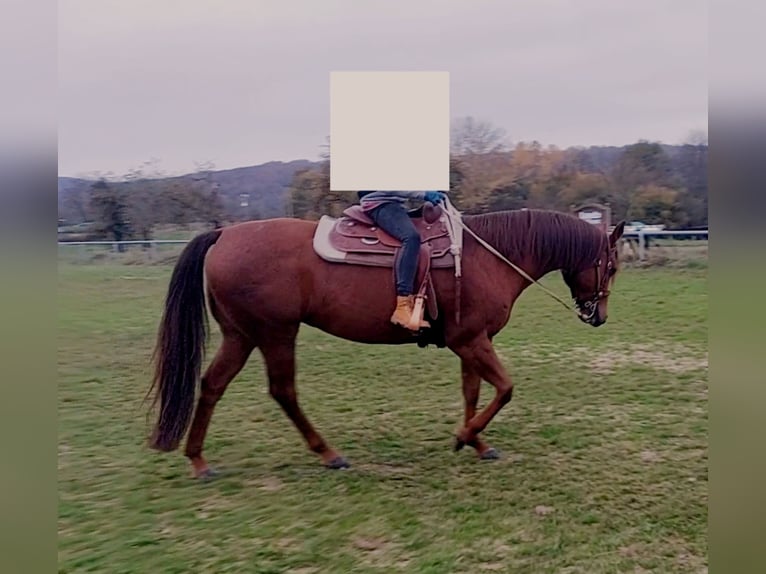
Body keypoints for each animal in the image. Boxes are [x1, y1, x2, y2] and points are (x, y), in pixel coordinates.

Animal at [146, 208, 625, 478]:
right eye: (613, 266)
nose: (599, 315)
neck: (487, 256)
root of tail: (224, 234)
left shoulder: (470, 341)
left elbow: (472, 392)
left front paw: (475, 442)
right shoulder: (471, 341)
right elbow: (505, 389)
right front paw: (465, 436)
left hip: (242, 335)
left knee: (212, 384)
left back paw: (198, 459)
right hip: (275, 333)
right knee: (283, 391)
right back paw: (329, 454)